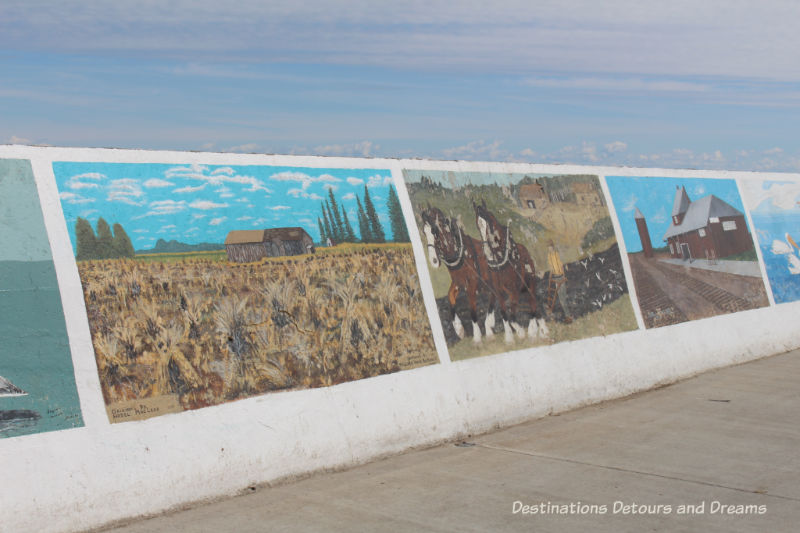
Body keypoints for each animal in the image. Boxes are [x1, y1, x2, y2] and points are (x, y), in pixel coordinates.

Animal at [422, 202, 496, 342]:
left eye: (435, 231)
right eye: (424, 232)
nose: (433, 260)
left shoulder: (472, 284)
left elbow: (472, 309)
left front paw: (477, 335)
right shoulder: (458, 283)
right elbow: (450, 297)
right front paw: (458, 328)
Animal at [472, 197, 548, 342]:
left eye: (489, 223)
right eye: (478, 225)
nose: (487, 252)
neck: (502, 262)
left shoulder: (514, 290)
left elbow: (512, 315)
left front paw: (523, 332)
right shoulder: (498, 292)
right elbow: (504, 313)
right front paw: (509, 337)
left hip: (530, 284)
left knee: (533, 305)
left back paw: (537, 330)